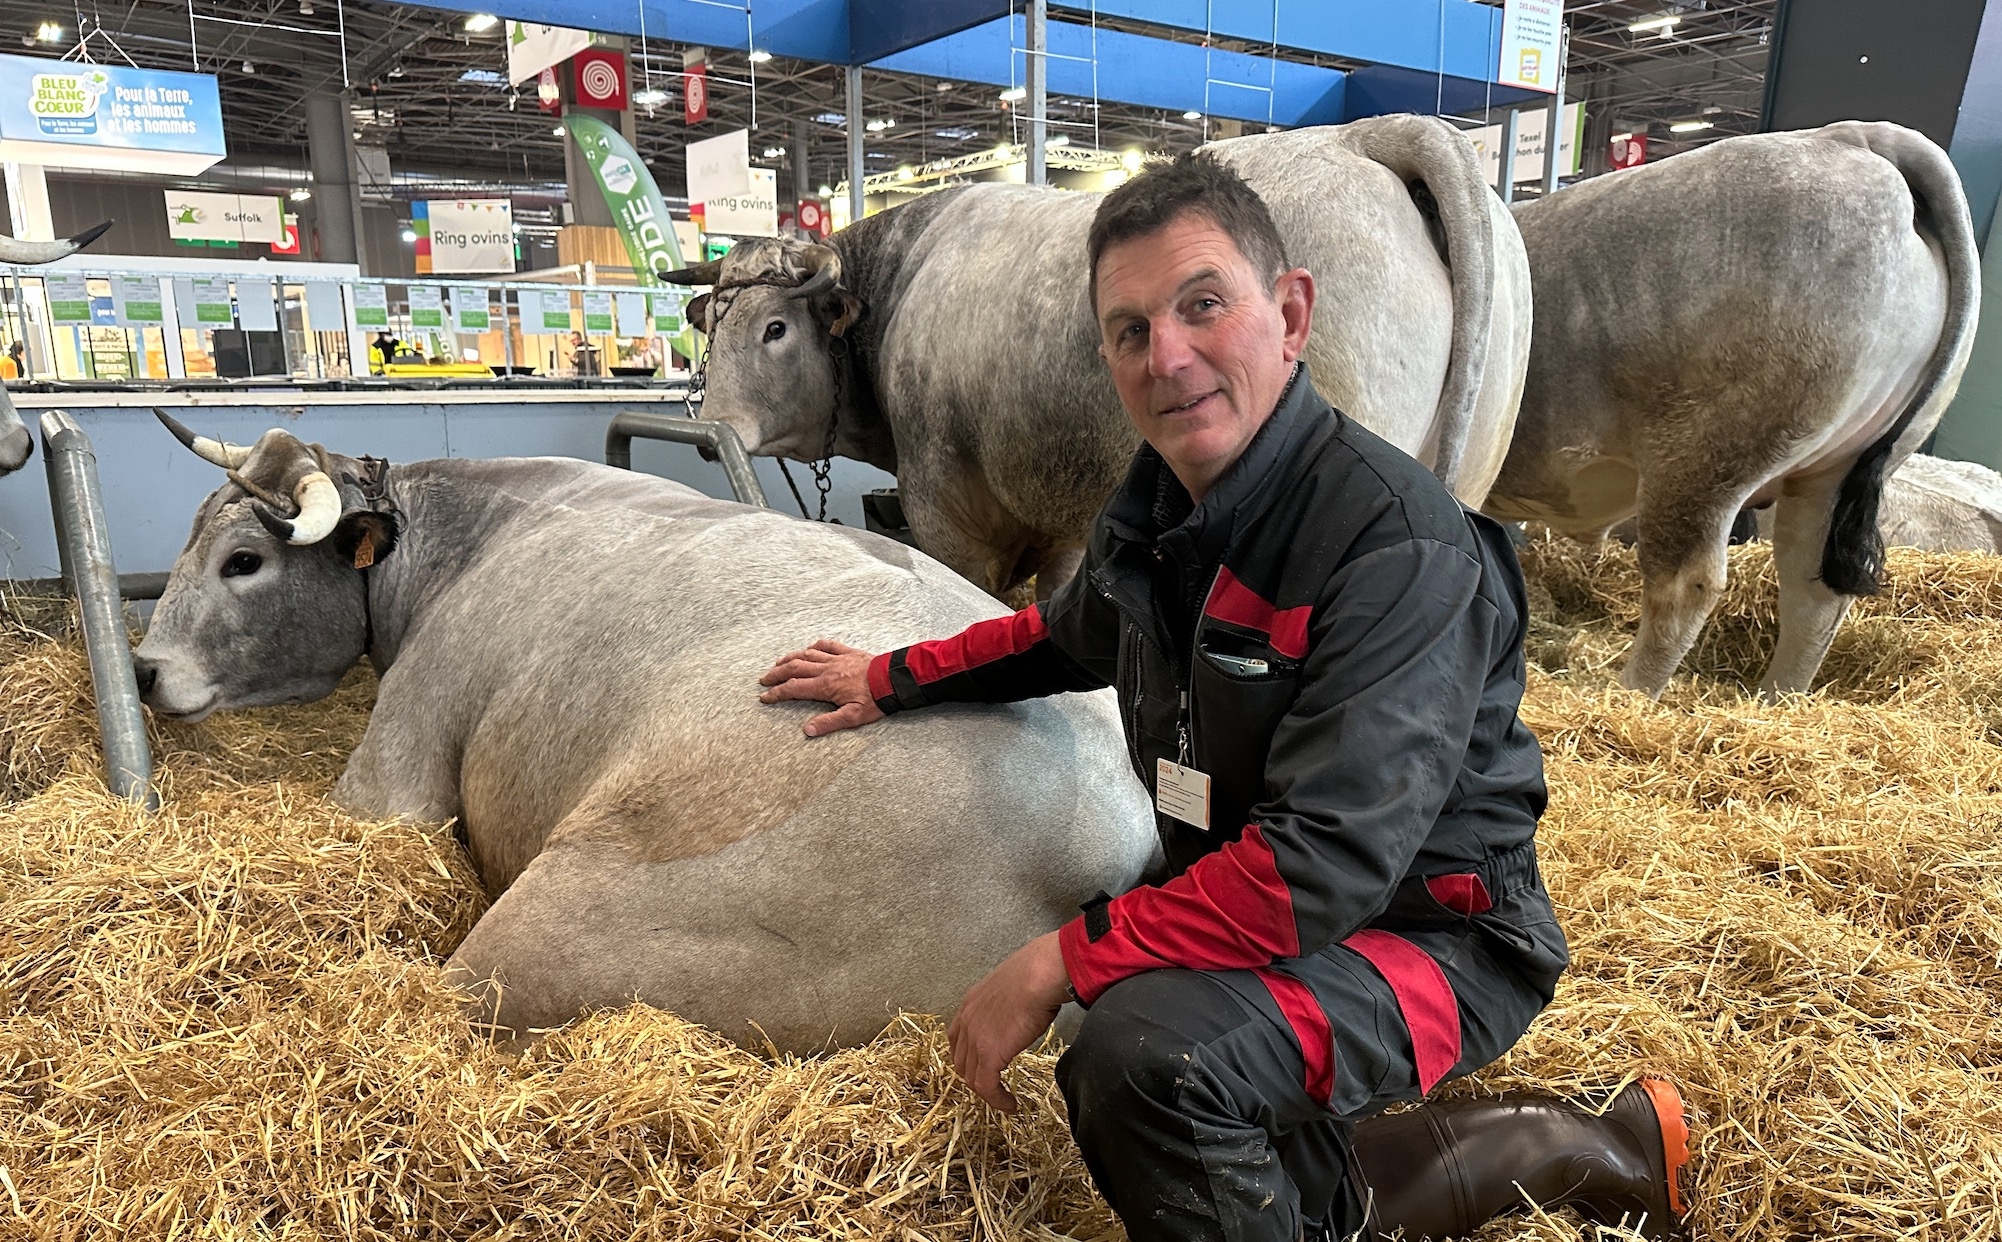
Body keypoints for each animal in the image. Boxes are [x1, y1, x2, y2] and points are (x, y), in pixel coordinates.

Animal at [137, 416, 1161, 1049]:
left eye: (244, 561)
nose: (142, 669)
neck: (457, 546)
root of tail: (1108, 826)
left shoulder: (398, 763)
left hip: (554, 932)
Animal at [664, 114, 1521, 600]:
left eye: (776, 328)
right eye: (711, 322)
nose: (714, 426)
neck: (906, 276)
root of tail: (1370, 132)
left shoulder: (948, 507)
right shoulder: (1064, 518)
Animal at [1489, 122, 1969, 697]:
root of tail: (1852, 136)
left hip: (1702, 458)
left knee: (1684, 585)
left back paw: (1628, 695)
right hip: (1835, 470)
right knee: (1812, 594)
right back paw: (1777, 700)